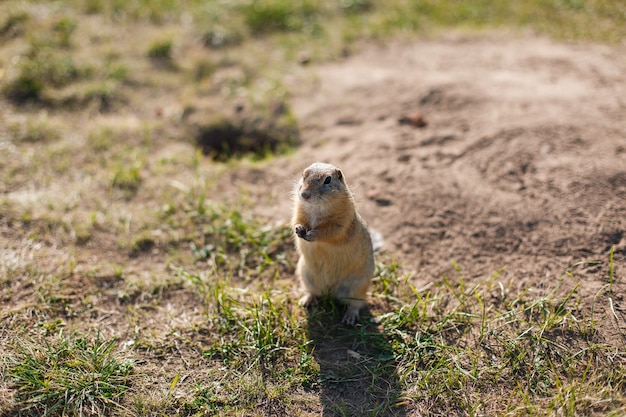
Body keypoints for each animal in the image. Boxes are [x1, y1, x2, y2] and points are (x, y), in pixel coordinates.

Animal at [290, 161, 372, 324]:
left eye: (327, 180)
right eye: (303, 175)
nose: (305, 195)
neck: (317, 207)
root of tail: (330, 292)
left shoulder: (342, 221)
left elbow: (331, 231)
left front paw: (312, 234)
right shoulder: (298, 211)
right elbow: (296, 221)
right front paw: (299, 229)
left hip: (357, 288)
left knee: (356, 305)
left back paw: (349, 318)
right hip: (306, 276)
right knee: (313, 292)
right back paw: (306, 300)